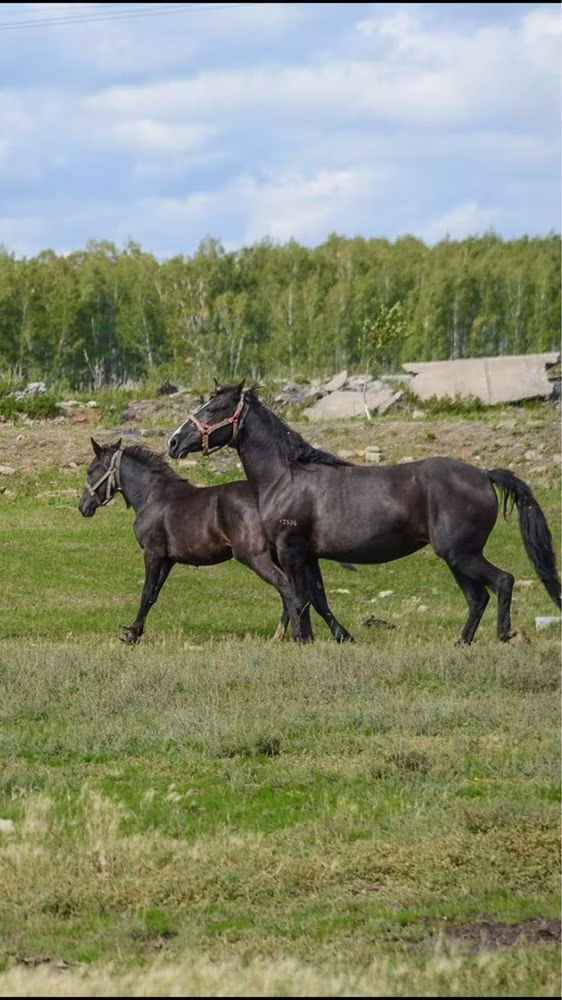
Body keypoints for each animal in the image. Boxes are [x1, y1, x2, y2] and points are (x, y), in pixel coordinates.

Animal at [78, 437, 349, 644]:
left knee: (286, 587)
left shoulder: (153, 554)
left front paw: (131, 635)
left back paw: (297, 635)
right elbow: (154, 595)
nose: (83, 507)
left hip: (254, 556)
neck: (153, 496)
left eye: (91, 470)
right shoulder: (168, 560)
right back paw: (285, 635)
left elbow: (146, 593)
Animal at [168, 380, 561, 646]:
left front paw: (304, 639)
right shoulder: (309, 554)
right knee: (477, 597)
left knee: (502, 581)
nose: (173, 442)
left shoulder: (291, 550)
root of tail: (483, 474)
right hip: (456, 557)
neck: (285, 476)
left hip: (461, 553)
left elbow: (299, 596)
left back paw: (503, 635)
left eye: (213, 409)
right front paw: (342, 637)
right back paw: (461, 643)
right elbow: (318, 597)